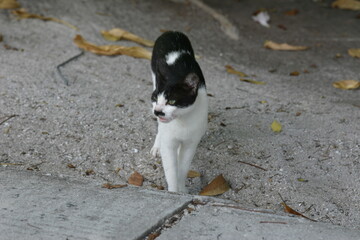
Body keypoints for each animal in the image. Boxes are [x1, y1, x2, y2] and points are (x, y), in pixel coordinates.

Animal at [150, 31, 208, 193]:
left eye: (172, 102)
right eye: (155, 98)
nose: (158, 111)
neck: (182, 122)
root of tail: (172, 32)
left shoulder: (191, 143)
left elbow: (183, 168)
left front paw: (182, 189)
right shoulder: (169, 142)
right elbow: (170, 169)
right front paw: (173, 191)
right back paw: (157, 146)